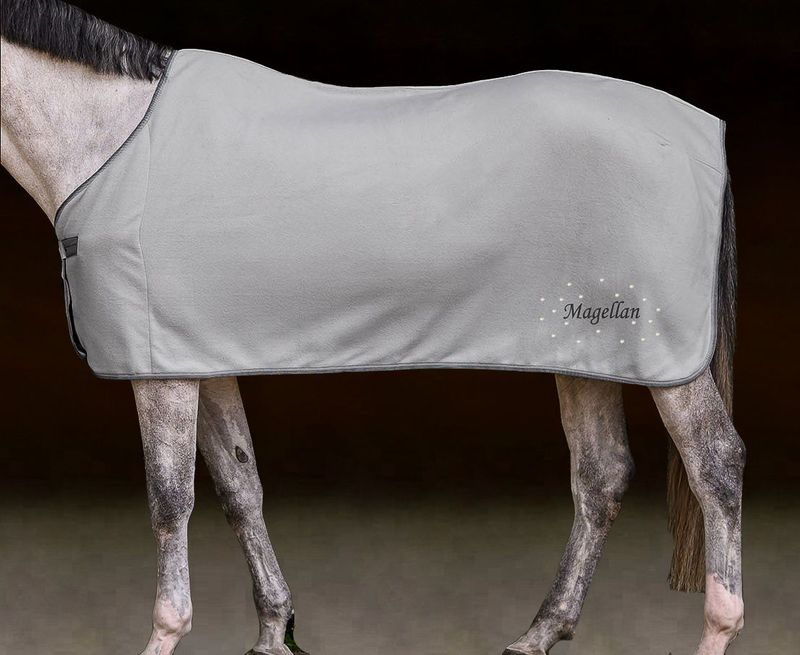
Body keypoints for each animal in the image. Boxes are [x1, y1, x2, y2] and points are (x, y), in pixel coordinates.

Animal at [0, 2, 745, 654]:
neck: (111, 138)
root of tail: (704, 133)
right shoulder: (199, 357)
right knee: (601, 475)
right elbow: (240, 486)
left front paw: (169, 634)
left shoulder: (162, 371)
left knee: (716, 462)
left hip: (660, 352)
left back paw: (717, 627)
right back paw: (538, 632)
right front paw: (274, 631)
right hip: (582, 346)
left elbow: (169, 499)